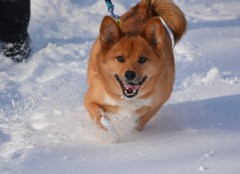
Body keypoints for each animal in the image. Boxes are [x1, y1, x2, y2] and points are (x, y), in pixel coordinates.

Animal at [84, 0, 188, 130]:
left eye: (142, 59)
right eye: (120, 58)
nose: (130, 74)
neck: (128, 98)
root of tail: (144, 9)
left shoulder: (157, 102)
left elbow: (141, 118)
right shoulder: (90, 99)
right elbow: (100, 116)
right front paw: (111, 131)